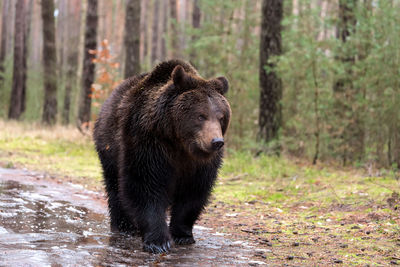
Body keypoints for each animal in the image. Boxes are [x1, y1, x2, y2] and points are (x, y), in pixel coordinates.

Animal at [93, 59, 231, 254]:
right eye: (201, 115)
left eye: (221, 117)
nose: (216, 141)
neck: (179, 142)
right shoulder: (149, 142)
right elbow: (146, 185)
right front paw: (158, 241)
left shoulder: (200, 163)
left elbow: (194, 192)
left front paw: (182, 235)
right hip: (109, 146)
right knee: (115, 187)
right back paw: (124, 226)